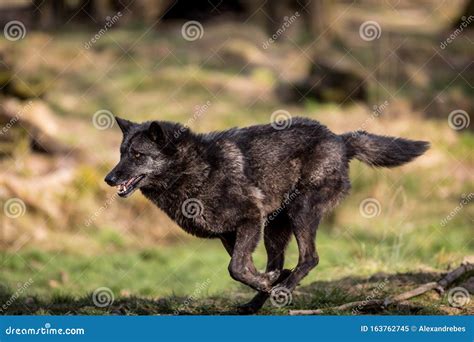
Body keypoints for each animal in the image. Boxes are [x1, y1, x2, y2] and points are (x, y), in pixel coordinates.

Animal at [104, 117, 430, 312]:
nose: (109, 178)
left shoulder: (250, 219)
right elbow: (243, 268)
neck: (196, 171)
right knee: (282, 261)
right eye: (121, 153)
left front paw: (271, 284)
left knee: (310, 258)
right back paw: (258, 300)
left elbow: (236, 268)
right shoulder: (230, 234)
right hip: (275, 229)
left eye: (137, 155)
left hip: (300, 212)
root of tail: (339, 139)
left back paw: (282, 289)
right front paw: (266, 282)